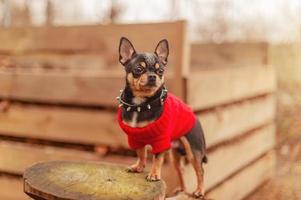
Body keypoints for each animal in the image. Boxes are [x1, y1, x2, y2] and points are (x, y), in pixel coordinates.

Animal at [115, 36, 206, 198]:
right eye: (138, 69)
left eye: (161, 70)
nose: (153, 76)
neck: (141, 103)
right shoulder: (135, 139)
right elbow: (141, 154)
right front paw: (138, 167)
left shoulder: (160, 141)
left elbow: (157, 159)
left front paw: (154, 175)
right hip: (176, 156)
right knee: (181, 170)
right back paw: (181, 189)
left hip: (194, 152)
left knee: (200, 171)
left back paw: (199, 191)